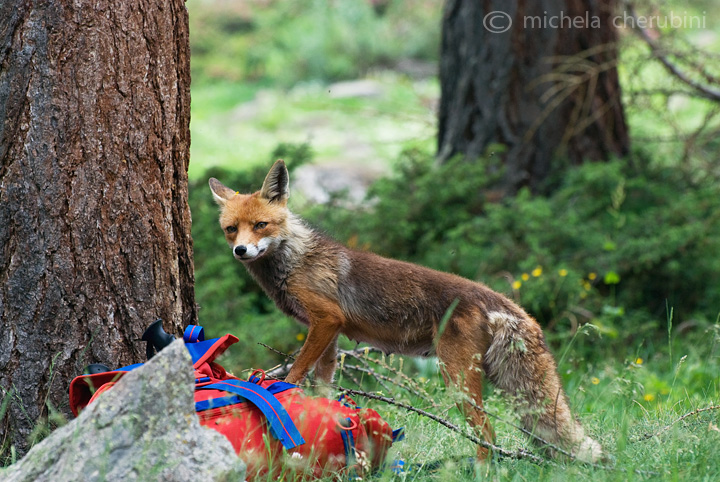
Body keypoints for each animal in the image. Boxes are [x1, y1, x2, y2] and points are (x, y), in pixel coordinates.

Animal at [208, 160, 600, 462]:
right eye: (231, 230)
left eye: (261, 225)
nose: (241, 250)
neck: (295, 261)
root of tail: (497, 299)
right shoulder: (330, 334)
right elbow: (322, 385)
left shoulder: (326, 319)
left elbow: (295, 373)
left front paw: (281, 396)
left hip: (456, 378)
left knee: (487, 432)